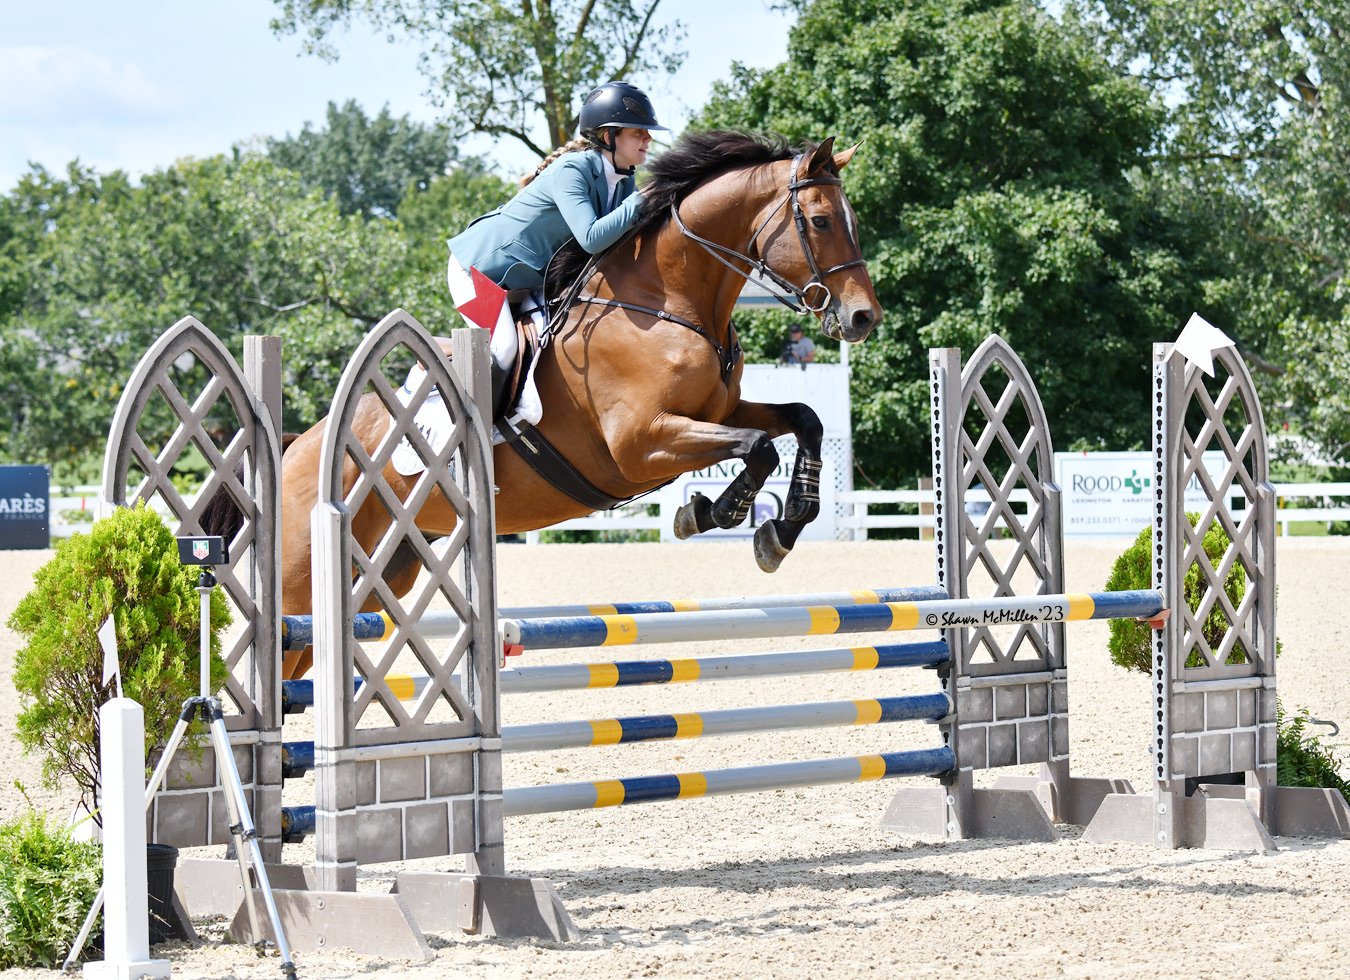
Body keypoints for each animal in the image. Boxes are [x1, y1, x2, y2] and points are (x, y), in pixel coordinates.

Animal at [230, 131, 883, 678]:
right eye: (821, 220)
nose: (863, 319)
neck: (668, 302)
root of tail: (296, 447)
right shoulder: (641, 445)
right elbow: (758, 448)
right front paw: (709, 512)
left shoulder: (719, 413)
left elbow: (802, 422)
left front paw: (781, 529)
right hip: (301, 581)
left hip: (381, 571)